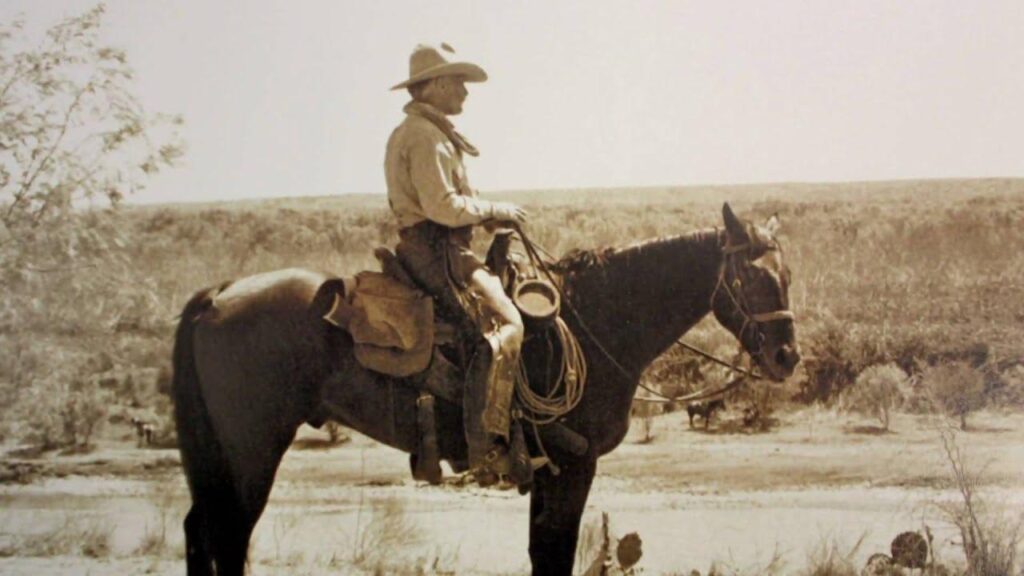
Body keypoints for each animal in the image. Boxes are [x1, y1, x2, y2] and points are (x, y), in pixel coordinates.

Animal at [172, 203, 798, 569]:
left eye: (787, 275)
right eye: (751, 277)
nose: (787, 356)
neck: (598, 318)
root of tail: (219, 294)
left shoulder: (551, 470)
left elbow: (543, 552)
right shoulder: (574, 467)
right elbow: (554, 554)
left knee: (201, 530)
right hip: (252, 450)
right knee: (228, 535)